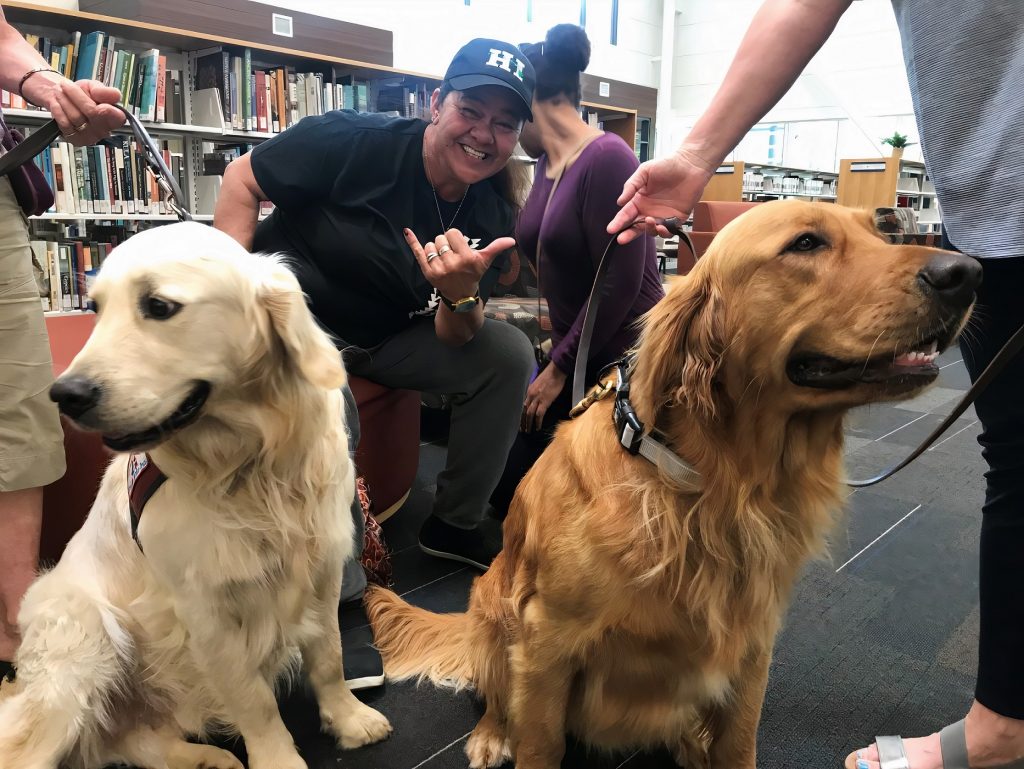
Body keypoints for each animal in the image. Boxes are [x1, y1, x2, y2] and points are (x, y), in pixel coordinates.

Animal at [0, 222, 389, 769]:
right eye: (96, 308)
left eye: (159, 306)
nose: (65, 395)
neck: (249, 463)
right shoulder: (204, 608)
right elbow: (253, 699)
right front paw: (279, 759)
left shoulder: (320, 570)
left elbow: (329, 653)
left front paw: (349, 719)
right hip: (85, 634)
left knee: (133, 739)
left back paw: (207, 758)